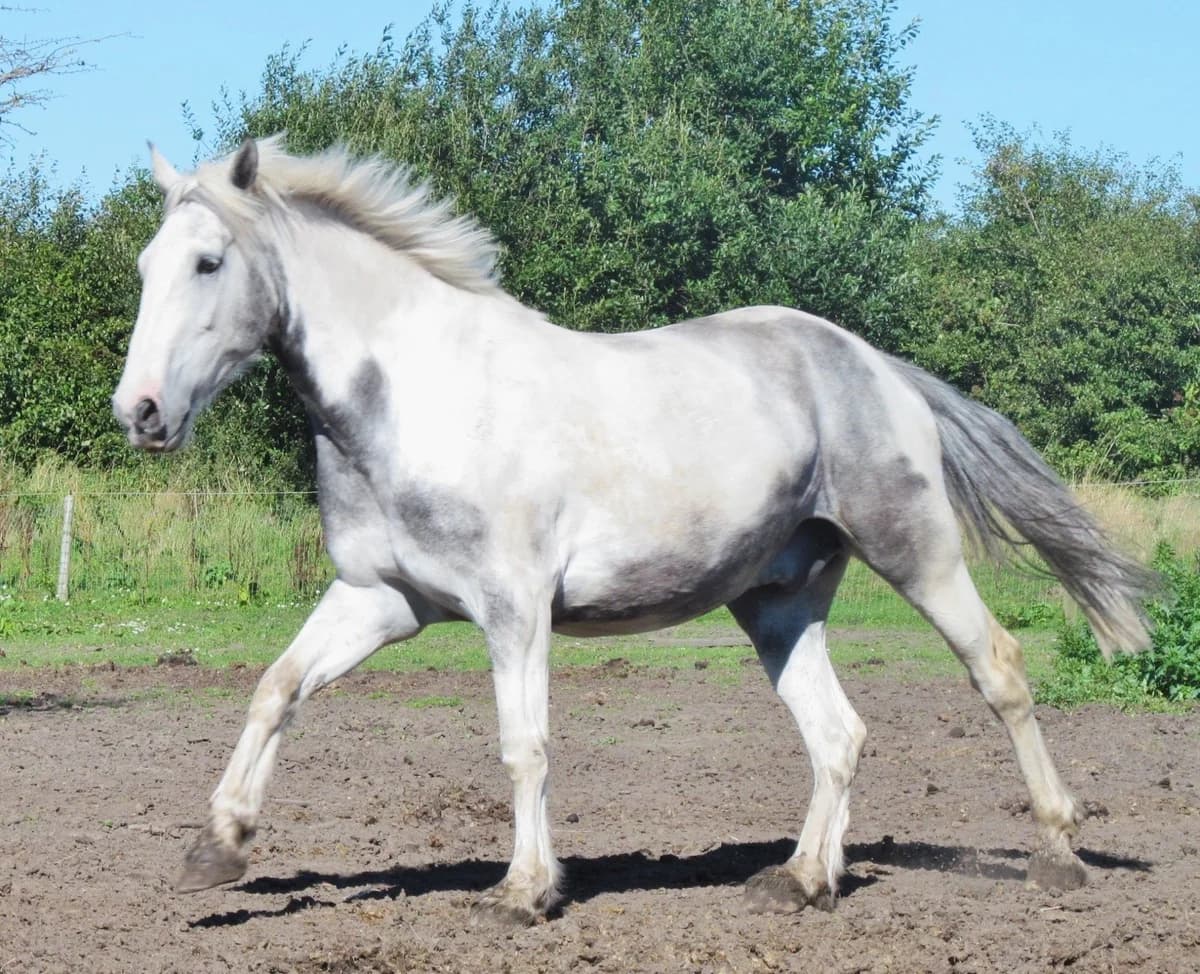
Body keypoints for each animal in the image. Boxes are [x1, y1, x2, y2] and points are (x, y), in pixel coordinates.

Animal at [113, 136, 1154, 924]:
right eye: (145, 268)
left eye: (209, 262)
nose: (141, 412)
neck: (415, 401)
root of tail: (876, 365)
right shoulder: (381, 600)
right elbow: (275, 689)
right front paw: (217, 847)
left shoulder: (515, 607)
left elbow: (524, 745)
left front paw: (525, 892)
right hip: (779, 603)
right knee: (839, 733)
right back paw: (801, 880)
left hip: (917, 553)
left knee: (1000, 671)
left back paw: (1058, 853)